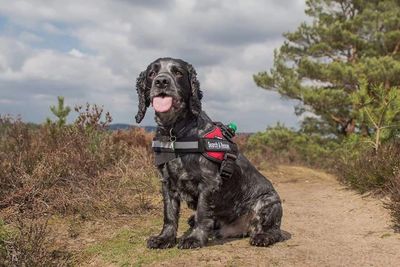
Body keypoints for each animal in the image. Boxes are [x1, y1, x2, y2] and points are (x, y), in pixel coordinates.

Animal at [134, 57, 284, 250]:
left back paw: (263, 237)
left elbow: (202, 212)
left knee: (275, 231)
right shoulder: (167, 183)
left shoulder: (208, 183)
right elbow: (169, 215)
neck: (176, 133)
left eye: (178, 72)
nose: (161, 81)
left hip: (269, 201)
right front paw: (164, 238)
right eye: (152, 73)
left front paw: (194, 239)